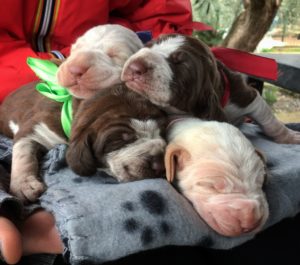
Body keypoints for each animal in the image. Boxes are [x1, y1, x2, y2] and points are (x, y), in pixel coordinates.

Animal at [0, 83, 166, 201]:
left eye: (161, 133)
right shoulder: (34, 128)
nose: (160, 165)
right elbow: (23, 154)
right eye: (121, 138)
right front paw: (24, 186)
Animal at [121, 34, 300, 144]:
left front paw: (291, 137)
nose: (135, 66)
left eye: (181, 63)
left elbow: (270, 122)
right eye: (148, 45)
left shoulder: (246, 96)